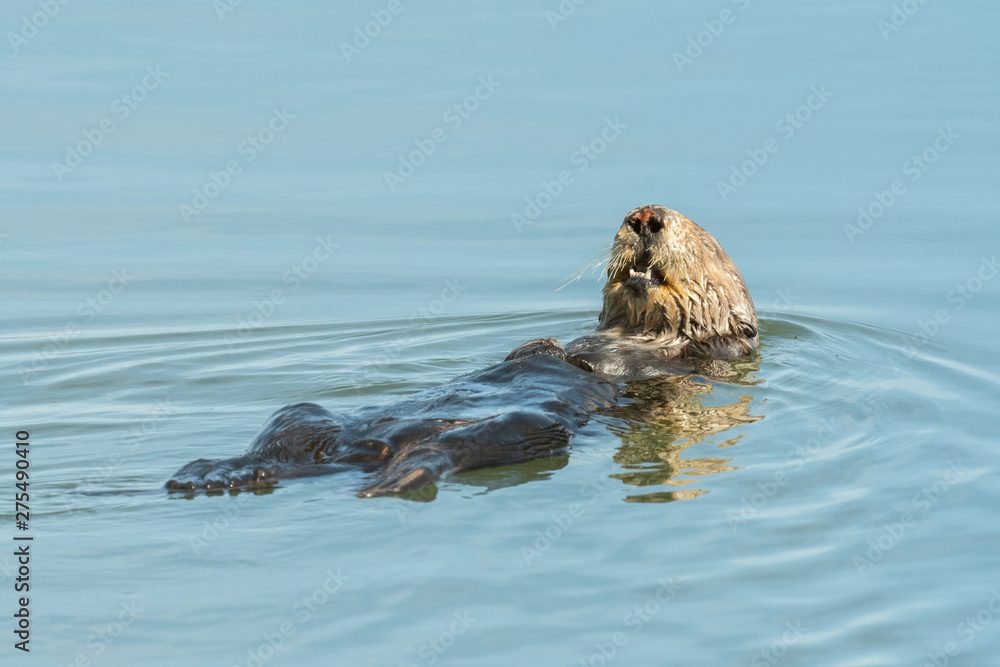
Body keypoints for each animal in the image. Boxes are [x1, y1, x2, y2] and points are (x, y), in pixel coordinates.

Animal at [166, 205, 757, 497]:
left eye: (703, 242)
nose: (645, 216)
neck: (638, 334)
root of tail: (359, 456)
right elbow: (550, 346)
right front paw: (545, 347)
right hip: (302, 417)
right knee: (282, 445)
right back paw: (205, 473)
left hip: (524, 428)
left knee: (440, 457)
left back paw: (392, 482)